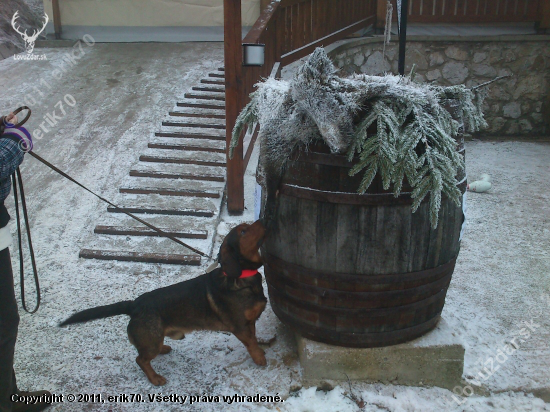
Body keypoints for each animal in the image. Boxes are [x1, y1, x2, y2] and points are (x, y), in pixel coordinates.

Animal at [60, 220, 268, 384]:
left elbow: (254, 338)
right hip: (151, 341)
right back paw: (155, 378)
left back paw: (164, 348)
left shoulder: (251, 322)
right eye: (243, 231)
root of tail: (134, 305)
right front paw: (259, 357)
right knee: (141, 360)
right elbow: (251, 343)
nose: (264, 218)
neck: (243, 277)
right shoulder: (240, 326)